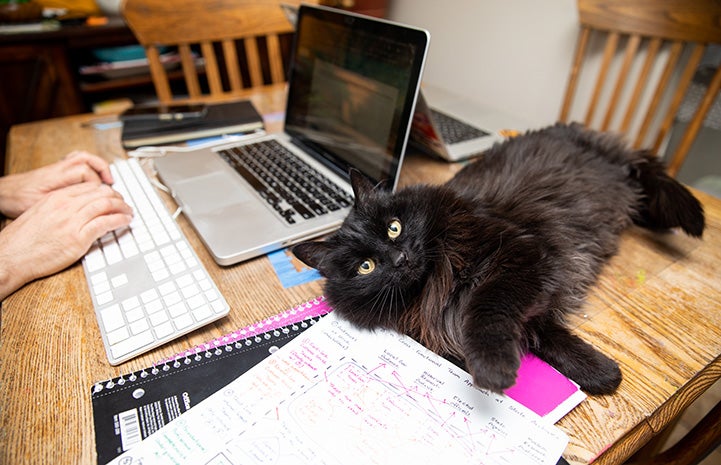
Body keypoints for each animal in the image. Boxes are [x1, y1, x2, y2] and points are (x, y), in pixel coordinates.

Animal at [292, 121, 704, 394]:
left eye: (394, 228)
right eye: (366, 267)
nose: (399, 258)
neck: (434, 282)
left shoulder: (518, 254)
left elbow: (486, 311)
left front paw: (492, 369)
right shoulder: (533, 295)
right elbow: (548, 338)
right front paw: (600, 373)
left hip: (613, 164)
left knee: (646, 170)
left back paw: (691, 217)